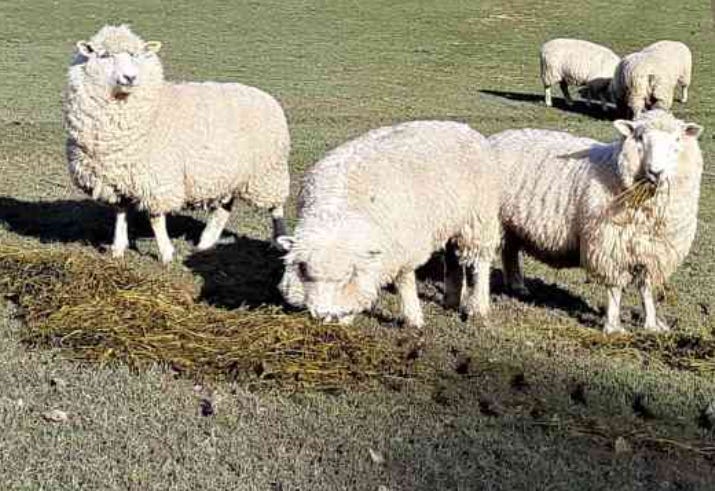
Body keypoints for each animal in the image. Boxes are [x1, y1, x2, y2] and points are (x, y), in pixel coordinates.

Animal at [63, 25, 290, 263]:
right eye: (104, 55)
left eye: (135, 55)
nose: (130, 77)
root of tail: (265, 95)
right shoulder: (116, 178)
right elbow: (120, 212)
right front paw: (118, 248)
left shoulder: (157, 178)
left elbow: (155, 218)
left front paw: (166, 253)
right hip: (229, 173)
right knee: (223, 209)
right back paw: (206, 243)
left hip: (268, 171)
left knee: (276, 206)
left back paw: (279, 240)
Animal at [277, 121, 501, 328]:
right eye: (304, 271)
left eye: (346, 276)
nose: (321, 314)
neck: (338, 210)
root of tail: (464, 127)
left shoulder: (403, 246)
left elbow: (404, 281)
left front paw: (413, 319)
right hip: (452, 221)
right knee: (453, 259)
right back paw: (451, 299)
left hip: (478, 220)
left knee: (480, 263)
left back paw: (478, 307)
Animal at [487, 110, 703, 334]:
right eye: (639, 137)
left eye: (677, 140)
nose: (656, 172)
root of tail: (495, 138)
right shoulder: (610, 245)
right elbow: (615, 289)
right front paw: (613, 326)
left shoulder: (651, 251)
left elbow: (646, 289)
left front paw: (652, 324)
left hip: (510, 225)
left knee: (509, 252)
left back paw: (518, 286)